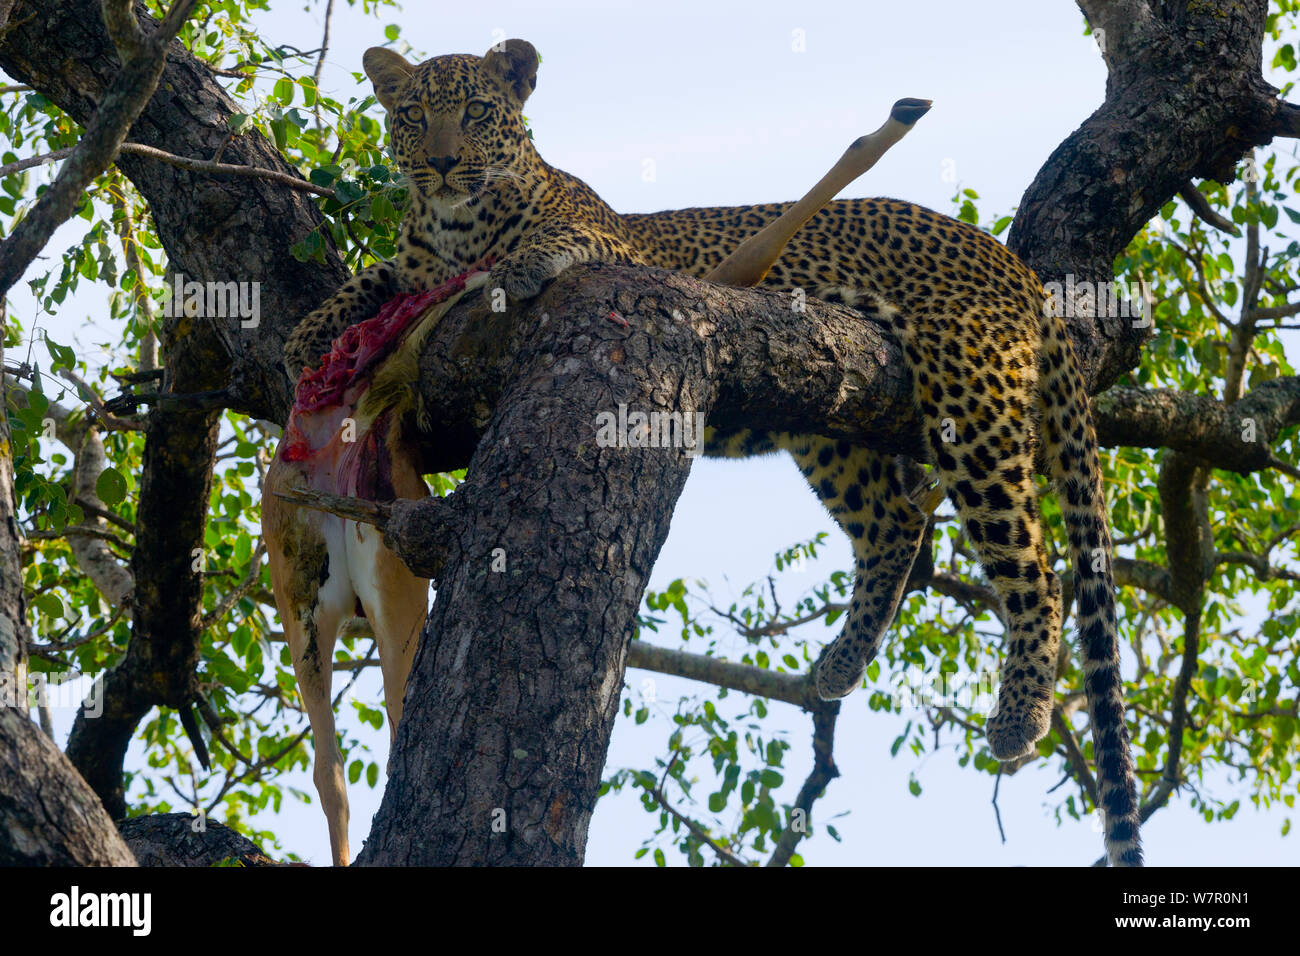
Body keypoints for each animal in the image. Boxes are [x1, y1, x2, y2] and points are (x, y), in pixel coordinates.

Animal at [282, 39, 1138, 868]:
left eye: (477, 113)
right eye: (414, 116)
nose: (442, 163)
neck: (454, 227)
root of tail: (1006, 258)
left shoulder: (614, 245)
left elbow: (558, 238)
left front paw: (519, 262)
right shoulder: (418, 269)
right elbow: (374, 278)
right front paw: (307, 334)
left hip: (970, 392)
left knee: (1037, 569)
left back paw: (1020, 714)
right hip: (829, 418)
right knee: (896, 525)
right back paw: (841, 663)